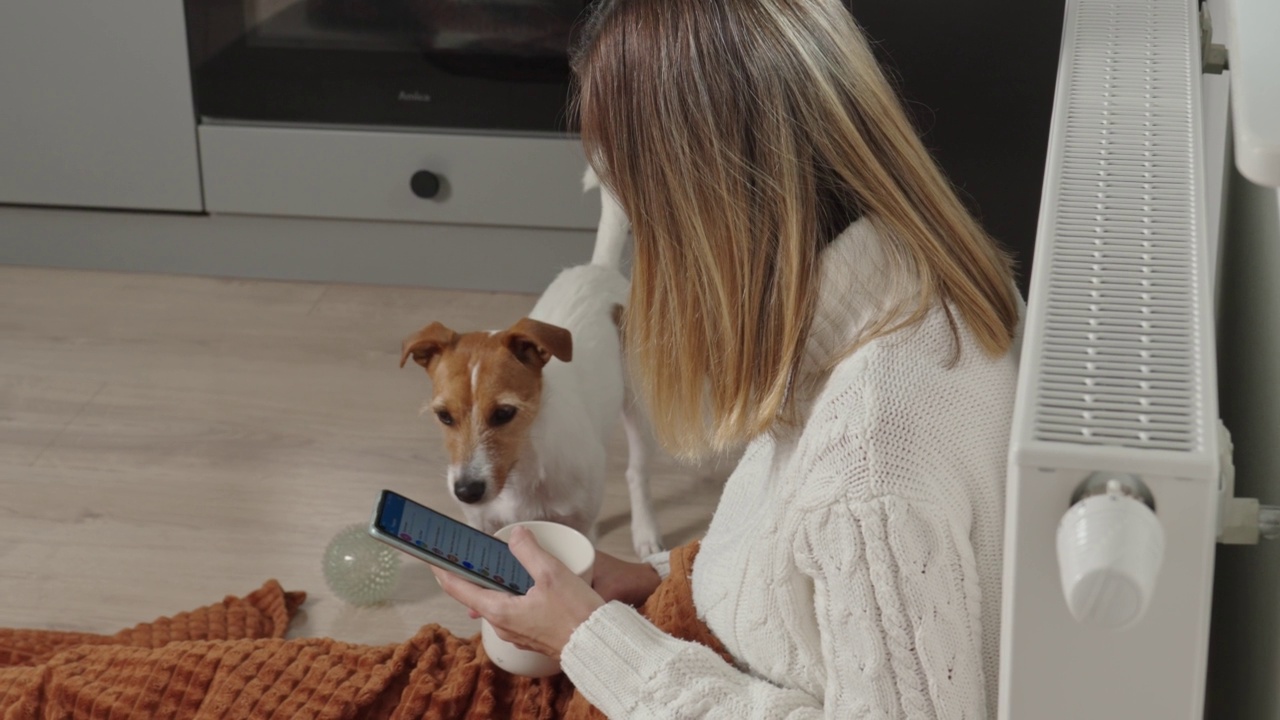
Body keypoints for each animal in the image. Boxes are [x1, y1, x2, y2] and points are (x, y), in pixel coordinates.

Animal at [399, 170, 665, 558]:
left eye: (504, 414)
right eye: (444, 416)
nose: (466, 491)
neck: (522, 470)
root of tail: (599, 268)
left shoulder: (581, 526)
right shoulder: (482, 523)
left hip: (636, 404)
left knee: (638, 471)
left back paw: (645, 531)